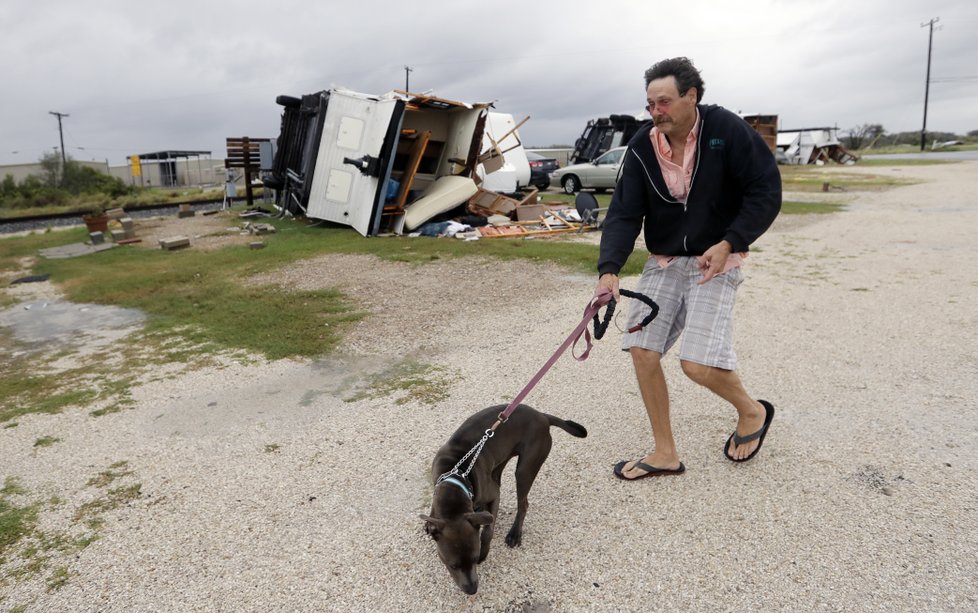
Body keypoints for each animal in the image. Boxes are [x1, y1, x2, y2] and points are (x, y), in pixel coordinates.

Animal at [420, 404, 588, 592]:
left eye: (475, 558)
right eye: (453, 565)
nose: (472, 590)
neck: (455, 477)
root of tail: (542, 416)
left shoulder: (494, 496)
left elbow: (487, 531)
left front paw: (485, 551)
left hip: (525, 468)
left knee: (523, 504)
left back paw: (514, 533)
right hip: (502, 459)